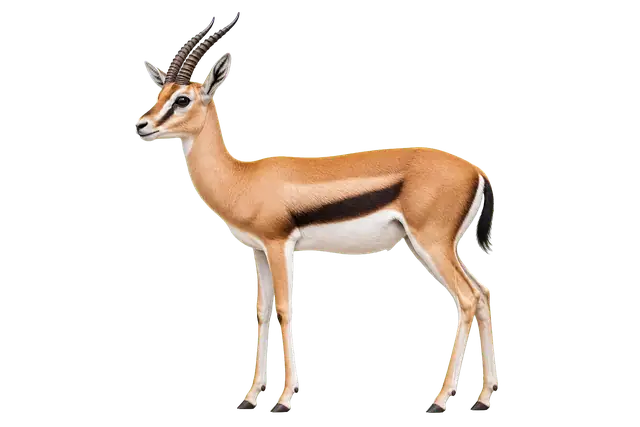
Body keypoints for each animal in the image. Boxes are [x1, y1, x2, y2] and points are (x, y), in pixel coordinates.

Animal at [135, 13, 500, 416]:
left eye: (182, 99)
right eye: (160, 95)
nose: (141, 125)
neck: (243, 179)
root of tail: (477, 171)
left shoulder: (279, 245)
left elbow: (284, 309)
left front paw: (283, 401)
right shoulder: (258, 251)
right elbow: (262, 312)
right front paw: (249, 398)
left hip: (431, 243)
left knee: (466, 299)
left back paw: (439, 400)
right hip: (441, 247)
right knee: (483, 293)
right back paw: (484, 399)